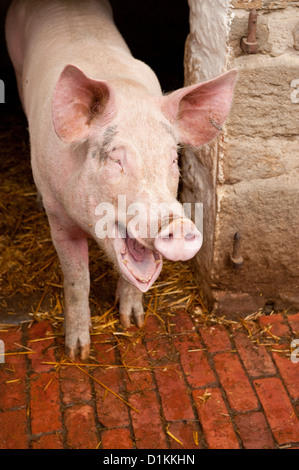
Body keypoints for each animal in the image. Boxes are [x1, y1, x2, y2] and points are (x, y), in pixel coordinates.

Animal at [5, 0, 239, 360]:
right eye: (116, 159)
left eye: (173, 158)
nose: (178, 225)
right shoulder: (58, 216)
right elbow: (78, 280)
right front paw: (77, 353)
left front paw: (133, 323)